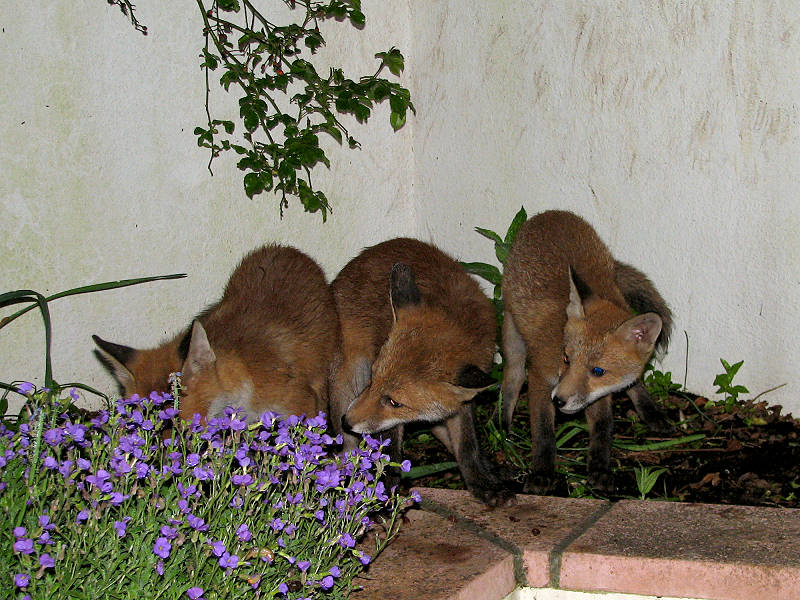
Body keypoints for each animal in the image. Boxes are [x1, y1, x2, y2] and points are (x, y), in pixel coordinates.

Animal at [331, 238, 515, 506]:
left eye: (395, 402)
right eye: (373, 379)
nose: (347, 421)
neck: (456, 315)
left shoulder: (463, 398)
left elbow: (468, 446)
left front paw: (481, 482)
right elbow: (390, 451)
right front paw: (382, 492)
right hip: (348, 377)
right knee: (345, 449)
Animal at [501, 210, 672, 492]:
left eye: (598, 371)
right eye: (566, 358)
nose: (559, 401)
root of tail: (549, 214)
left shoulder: (598, 393)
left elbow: (604, 426)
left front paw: (600, 468)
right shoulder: (540, 376)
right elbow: (543, 430)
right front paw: (542, 472)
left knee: (635, 381)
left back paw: (651, 411)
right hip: (512, 333)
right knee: (512, 378)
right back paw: (501, 424)